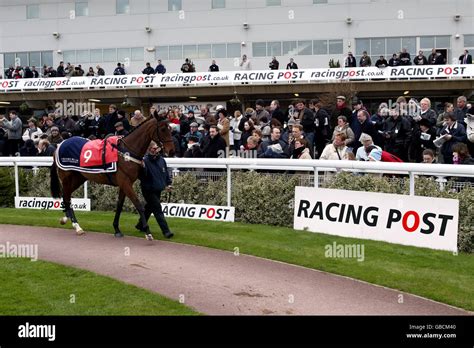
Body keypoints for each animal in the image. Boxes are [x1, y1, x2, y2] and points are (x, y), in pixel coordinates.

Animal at [49, 113, 174, 241]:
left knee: (66, 196)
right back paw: (77, 226)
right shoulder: (125, 183)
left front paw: (117, 229)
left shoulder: (124, 184)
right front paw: (147, 231)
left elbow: (119, 205)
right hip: (67, 177)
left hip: (79, 177)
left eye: (170, 129)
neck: (126, 152)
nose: (172, 150)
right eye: (163, 129)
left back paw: (67, 218)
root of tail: (59, 146)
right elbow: (139, 205)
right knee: (66, 196)